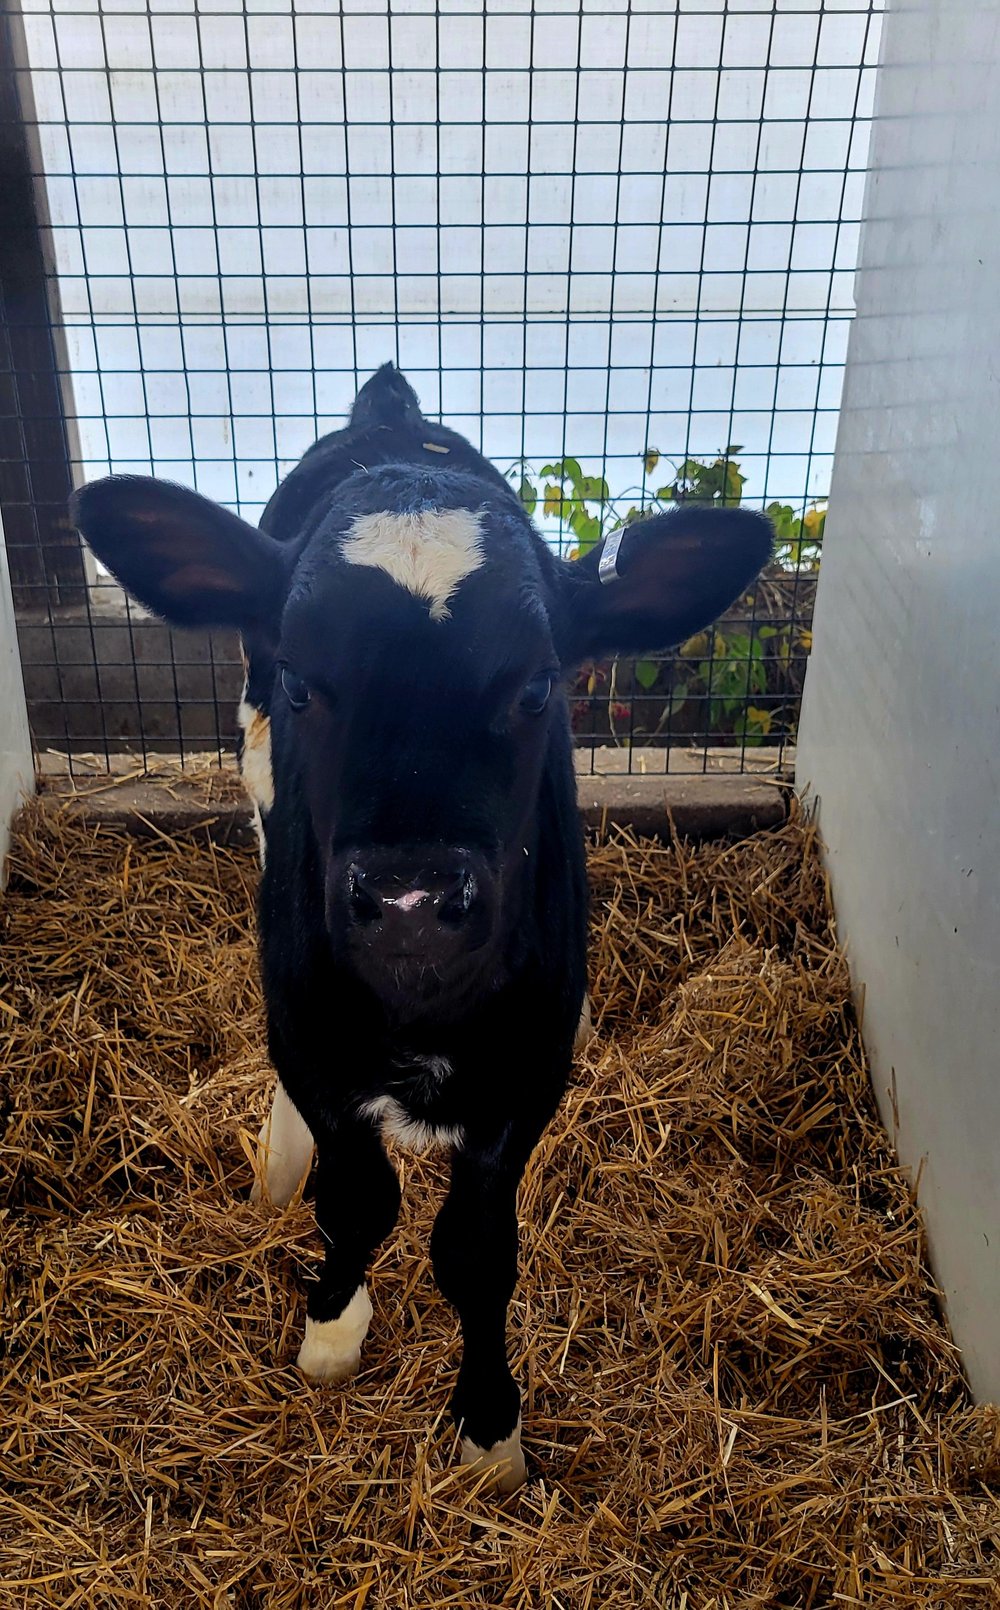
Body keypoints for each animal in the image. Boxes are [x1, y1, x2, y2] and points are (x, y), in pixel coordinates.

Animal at [71, 365, 771, 1492]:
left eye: (537, 687)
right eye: (300, 681)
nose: (408, 894)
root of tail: (390, 416)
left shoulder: (525, 1074)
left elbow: (475, 1251)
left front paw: (490, 1426)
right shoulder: (313, 1035)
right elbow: (357, 1200)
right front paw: (331, 1329)